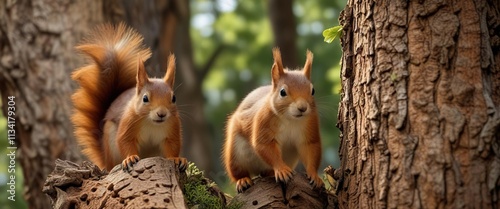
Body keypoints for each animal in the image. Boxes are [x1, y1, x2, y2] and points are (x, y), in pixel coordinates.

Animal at [71, 23, 187, 171]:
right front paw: (130, 158)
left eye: (173, 98)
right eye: (145, 98)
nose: (162, 114)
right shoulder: (129, 122)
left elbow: (172, 145)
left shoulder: (172, 126)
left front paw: (177, 159)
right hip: (110, 140)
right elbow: (125, 141)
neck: (152, 122)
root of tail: (105, 160)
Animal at [223, 47, 324, 193]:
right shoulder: (264, 120)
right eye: (282, 92)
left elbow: (311, 148)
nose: (303, 108)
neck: (290, 119)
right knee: (238, 172)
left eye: (313, 91)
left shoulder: (310, 124)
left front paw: (314, 175)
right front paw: (281, 170)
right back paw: (243, 180)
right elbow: (265, 146)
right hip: (236, 154)